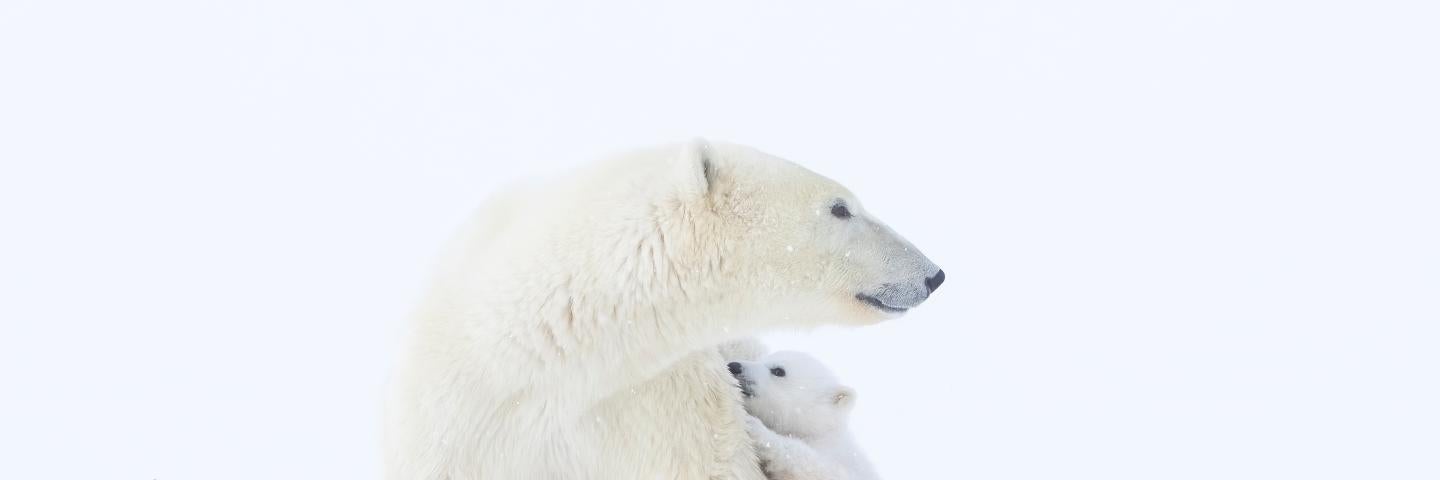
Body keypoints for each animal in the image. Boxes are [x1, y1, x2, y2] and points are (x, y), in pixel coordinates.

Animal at [730, 351, 880, 480]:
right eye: (759, 360)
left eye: (778, 371)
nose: (734, 366)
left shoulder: (842, 458)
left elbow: (821, 468)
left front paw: (757, 428)